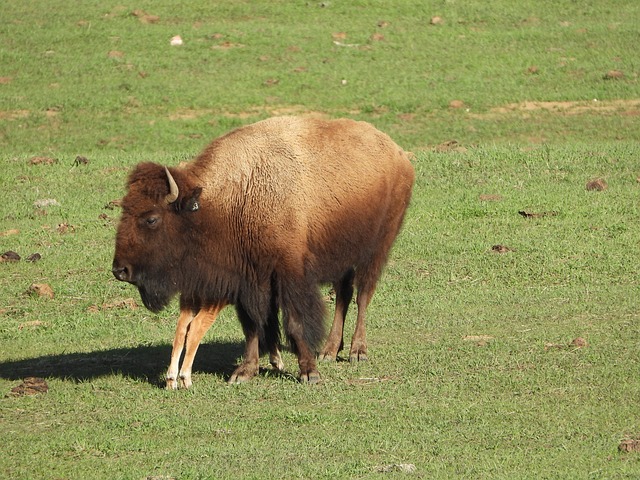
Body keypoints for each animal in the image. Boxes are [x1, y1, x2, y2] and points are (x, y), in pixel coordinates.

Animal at [112, 115, 412, 386]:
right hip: (343, 257)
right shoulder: (249, 279)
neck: (235, 196)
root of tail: (398, 154)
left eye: (151, 219)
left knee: (363, 295)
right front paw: (245, 372)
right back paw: (329, 350)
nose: (120, 270)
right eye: (124, 210)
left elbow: (295, 321)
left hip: (376, 250)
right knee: (344, 295)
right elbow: (252, 325)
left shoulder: (290, 272)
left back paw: (356, 351)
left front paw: (309, 373)